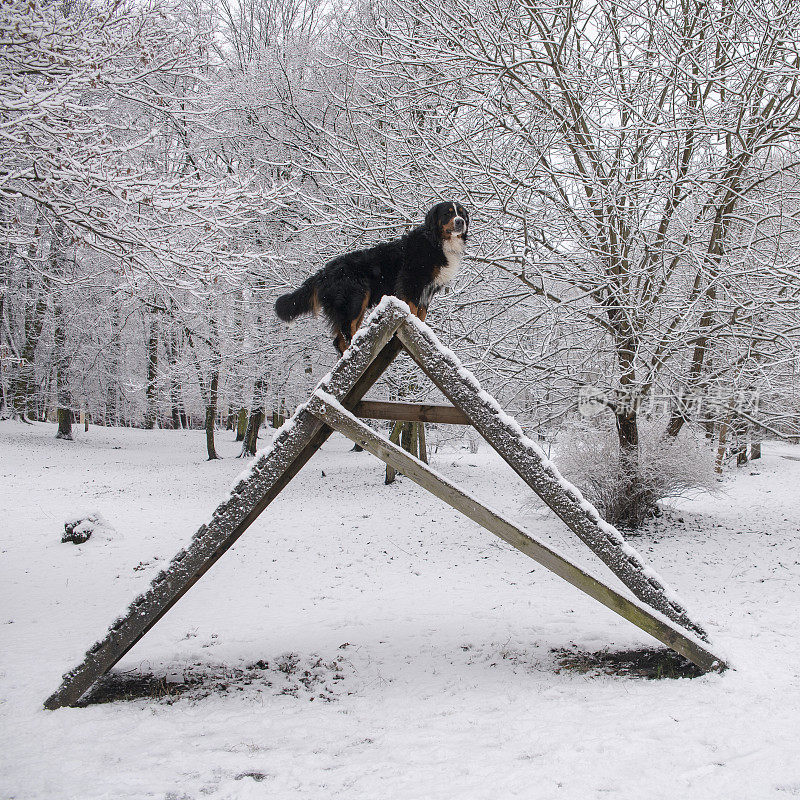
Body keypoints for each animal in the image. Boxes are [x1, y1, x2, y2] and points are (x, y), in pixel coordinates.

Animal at [274, 202, 468, 352]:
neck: (436, 242)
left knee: (340, 338)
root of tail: (324, 272)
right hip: (355, 298)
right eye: (447, 213)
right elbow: (411, 308)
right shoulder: (412, 281)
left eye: (461, 213)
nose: (460, 222)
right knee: (345, 334)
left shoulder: (428, 290)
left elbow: (421, 314)